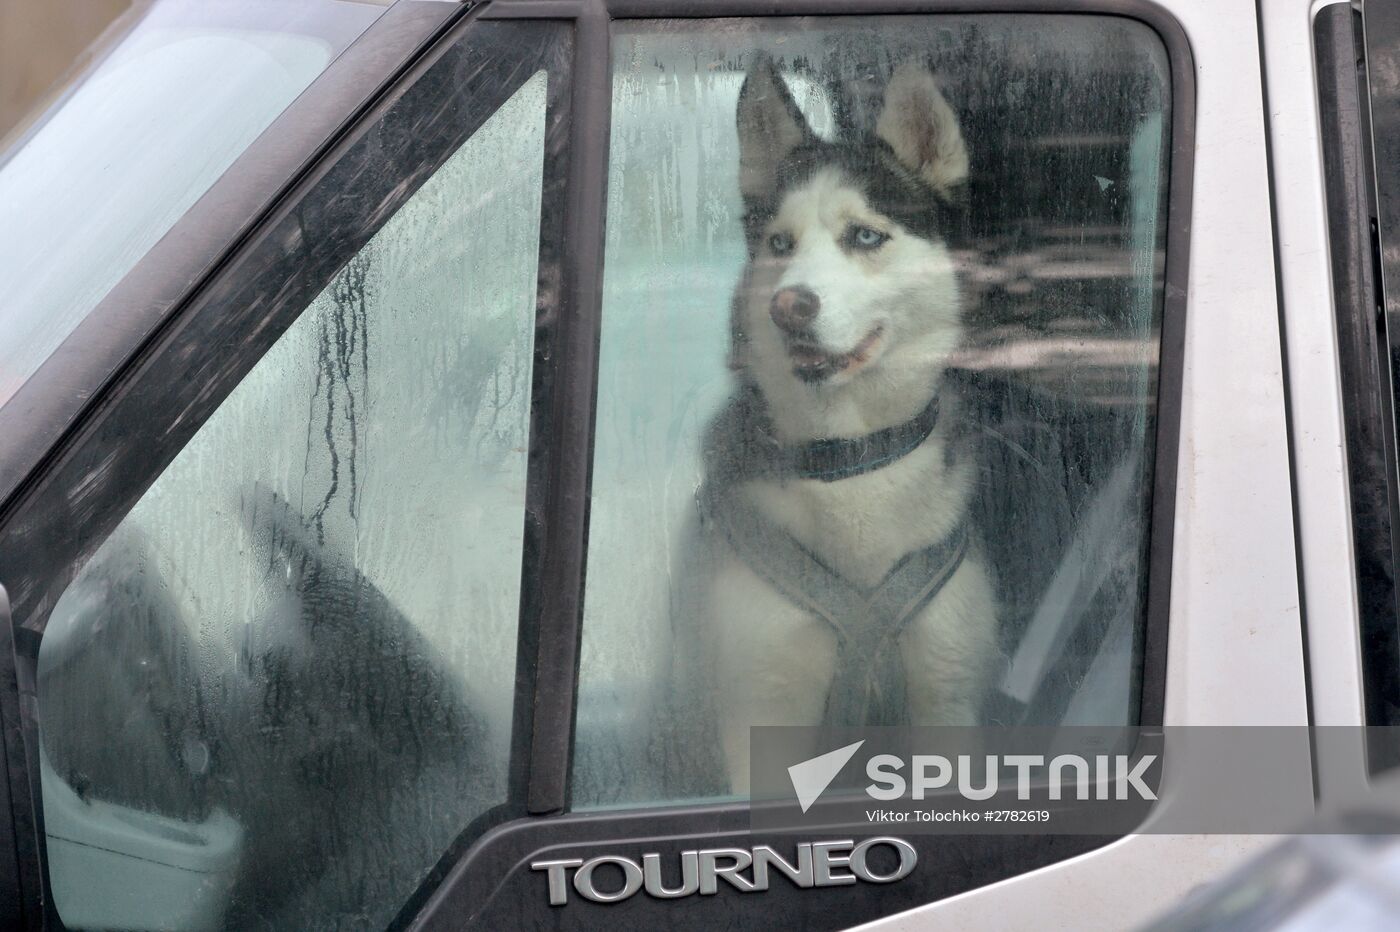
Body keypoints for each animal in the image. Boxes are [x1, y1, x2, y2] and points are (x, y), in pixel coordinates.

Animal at [691, 54, 1008, 789]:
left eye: (865, 235)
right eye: (780, 243)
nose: (787, 307)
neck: (852, 458)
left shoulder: (947, 695)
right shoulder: (761, 706)